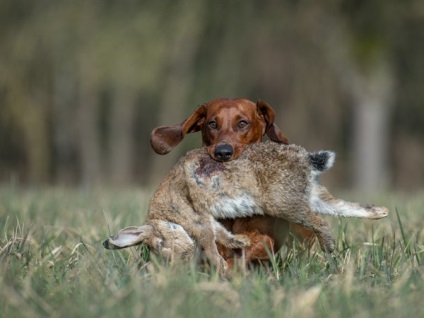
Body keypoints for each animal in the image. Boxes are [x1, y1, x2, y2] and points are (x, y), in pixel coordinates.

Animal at [105, 142, 388, 274]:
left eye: (161, 245)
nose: (178, 265)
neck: (163, 216)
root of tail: (305, 159)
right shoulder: (208, 220)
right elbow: (222, 234)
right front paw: (241, 242)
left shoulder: (195, 221)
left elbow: (210, 243)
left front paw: (221, 271)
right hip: (311, 195)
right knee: (341, 206)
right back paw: (380, 212)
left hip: (284, 203)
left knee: (320, 222)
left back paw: (330, 249)